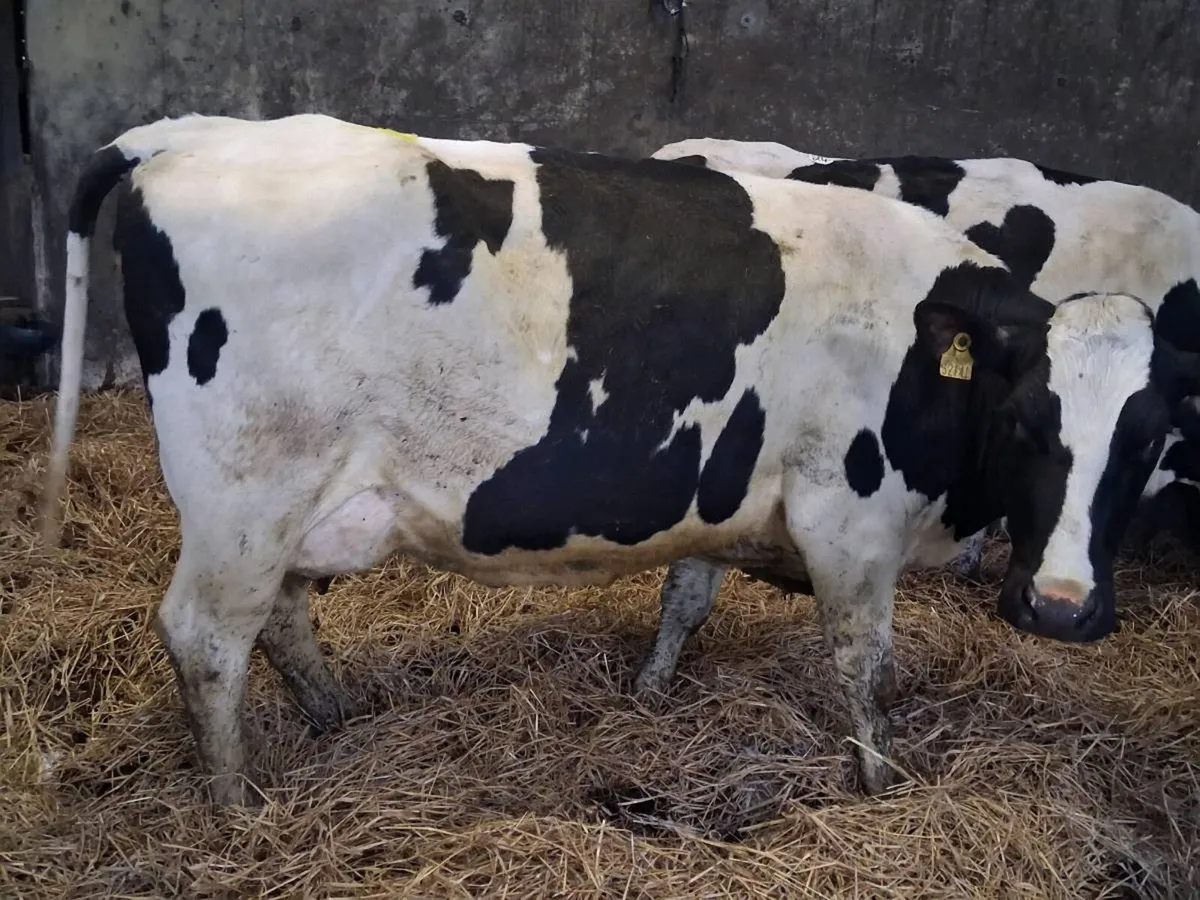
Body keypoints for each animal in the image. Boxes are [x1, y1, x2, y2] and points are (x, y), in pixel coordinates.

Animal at [40, 113, 1198, 807]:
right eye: (1032, 421)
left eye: (1147, 436)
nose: (1061, 610)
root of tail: (196, 135)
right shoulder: (848, 514)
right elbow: (860, 660)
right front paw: (877, 776)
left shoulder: (731, 493)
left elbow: (689, 593)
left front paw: (651, 688)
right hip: (247, 489)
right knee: (206, 638)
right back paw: (236, 805)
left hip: (285, 502)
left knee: (276, 613)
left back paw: (332, 715)